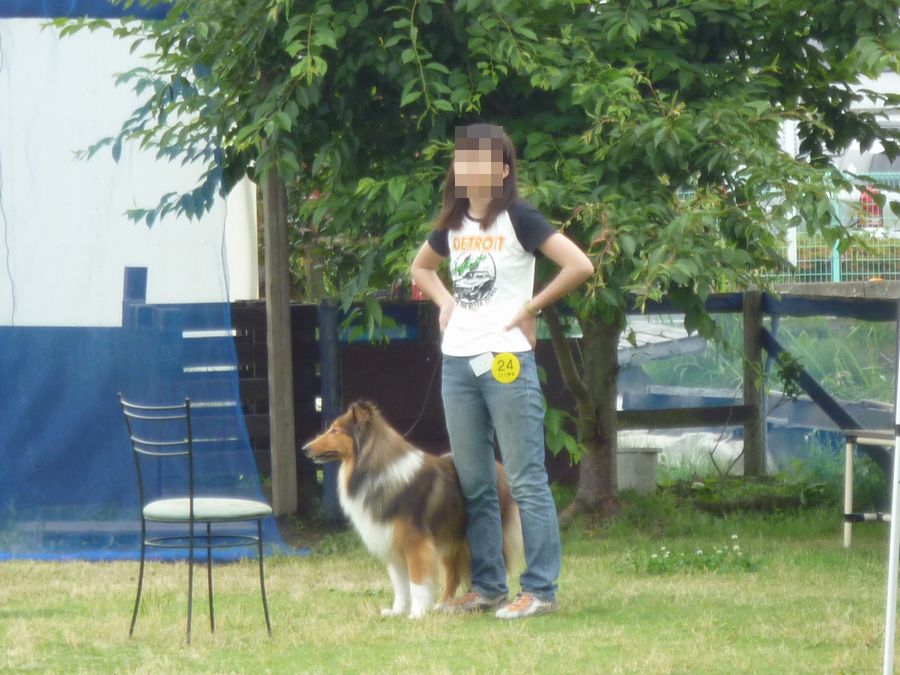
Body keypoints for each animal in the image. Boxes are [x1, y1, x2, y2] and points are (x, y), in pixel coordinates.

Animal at [303, 400, 523, 618]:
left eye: (335, 430)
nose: (304, 448)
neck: (375, 469)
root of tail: (498, 467)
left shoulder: (415, 543)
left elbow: (417, 582)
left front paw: (416, 613)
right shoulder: (392, 542)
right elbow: (400, 585)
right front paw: (397, 611)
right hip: (452, 540)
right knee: (453, 576)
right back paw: (442, 605)